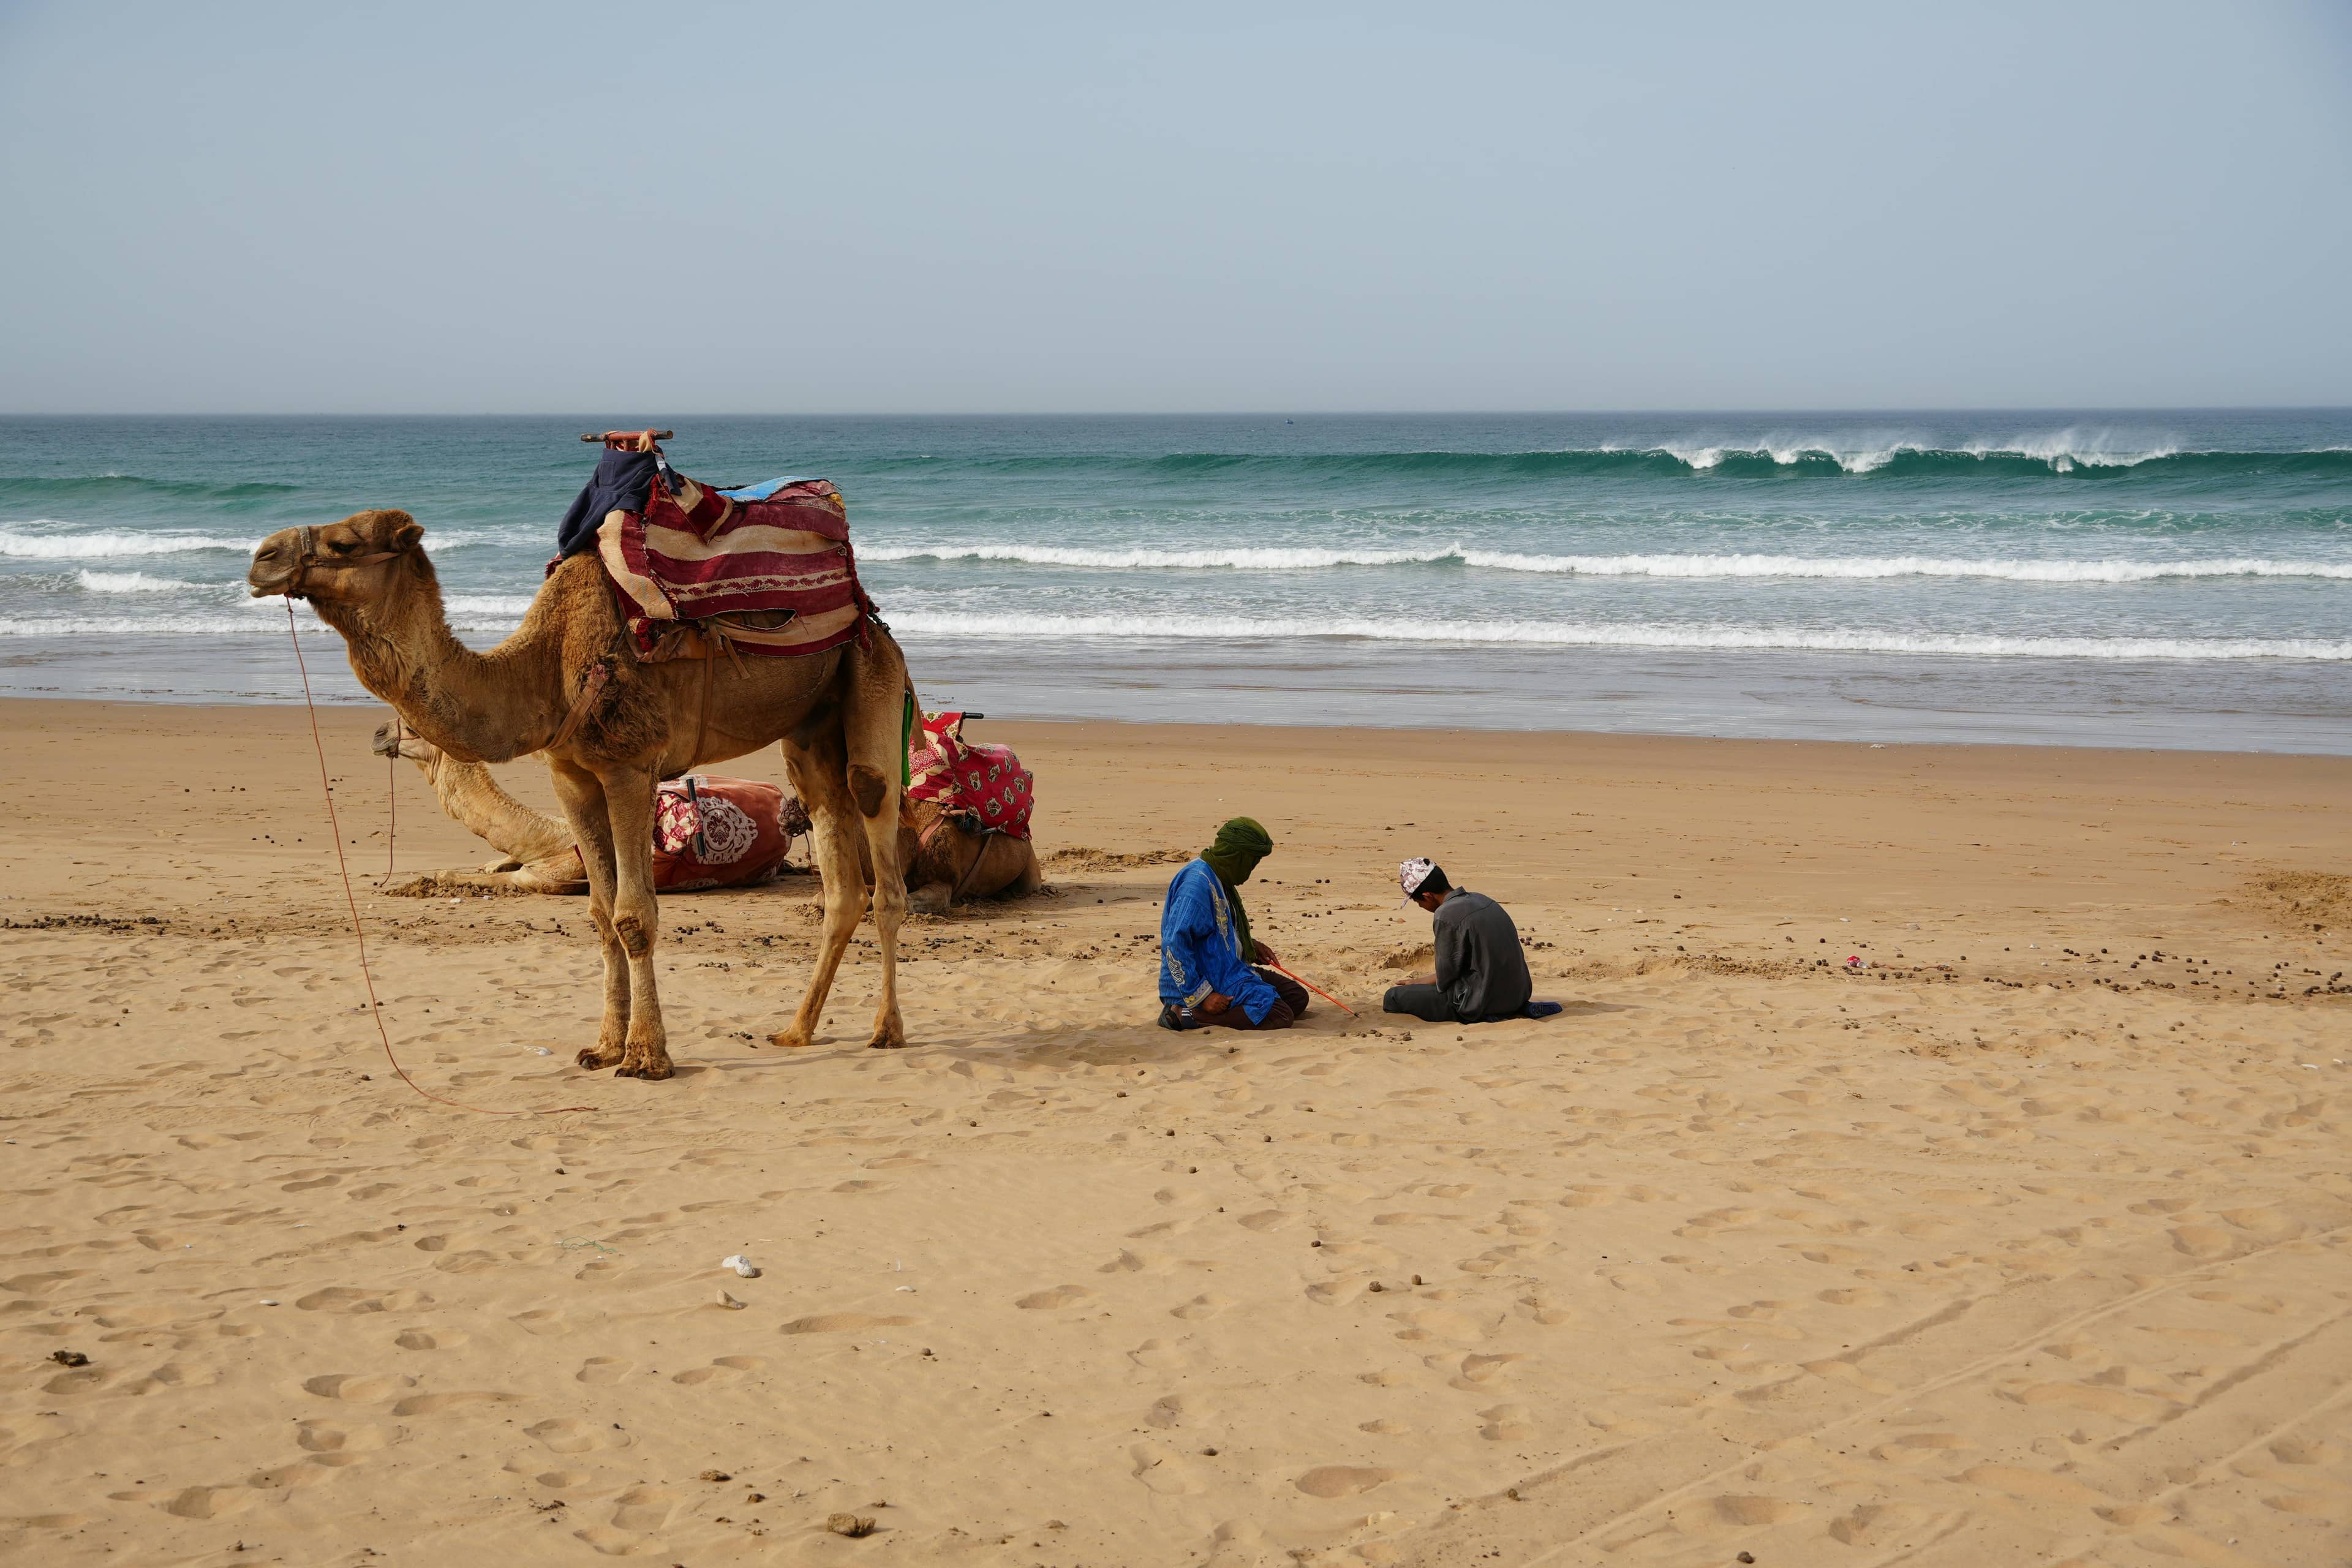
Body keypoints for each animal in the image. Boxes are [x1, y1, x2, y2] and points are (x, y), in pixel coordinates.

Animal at [249, 507, 912, 1077]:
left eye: (344, 543)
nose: (262, 558)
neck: (543, 670)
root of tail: (871, 615)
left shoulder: (630, 764)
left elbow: (634, 915)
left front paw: (646, 1058)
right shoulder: (570, 776)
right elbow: (599, 914)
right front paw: (602, 1048)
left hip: (871, 674)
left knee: (878, 832)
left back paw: (887, 1030)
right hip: (809, 727)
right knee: (839, 869)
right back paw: (797, 1030)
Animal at [371, 720, 1041, 909]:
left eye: (411, 726)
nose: (378, 734)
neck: (547, 835)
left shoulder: (558, 874)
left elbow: (485, 878)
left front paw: (408, 883)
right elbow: (488, 867)